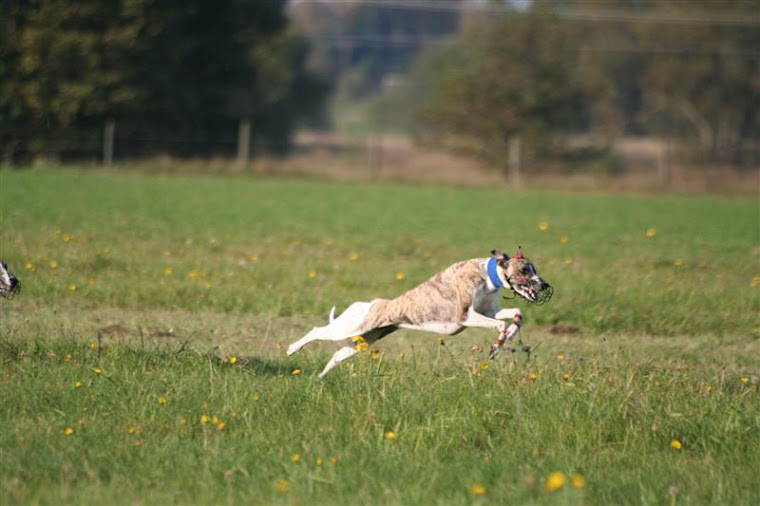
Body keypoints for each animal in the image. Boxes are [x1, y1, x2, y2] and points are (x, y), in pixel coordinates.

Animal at [286, 247, 552, 378]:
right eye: (525, 270)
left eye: (534, 269)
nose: (544, 286)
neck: (486, 275)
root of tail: (368, 303)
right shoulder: (465, 316)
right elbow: (499, 325)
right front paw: (498, 343)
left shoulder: (490, 310)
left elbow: (516, 312)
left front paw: (511, 333)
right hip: (350, 327)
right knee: (317, 331)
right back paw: (292, 349)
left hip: (367, 338)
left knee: (338, 354)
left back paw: (320, 377)